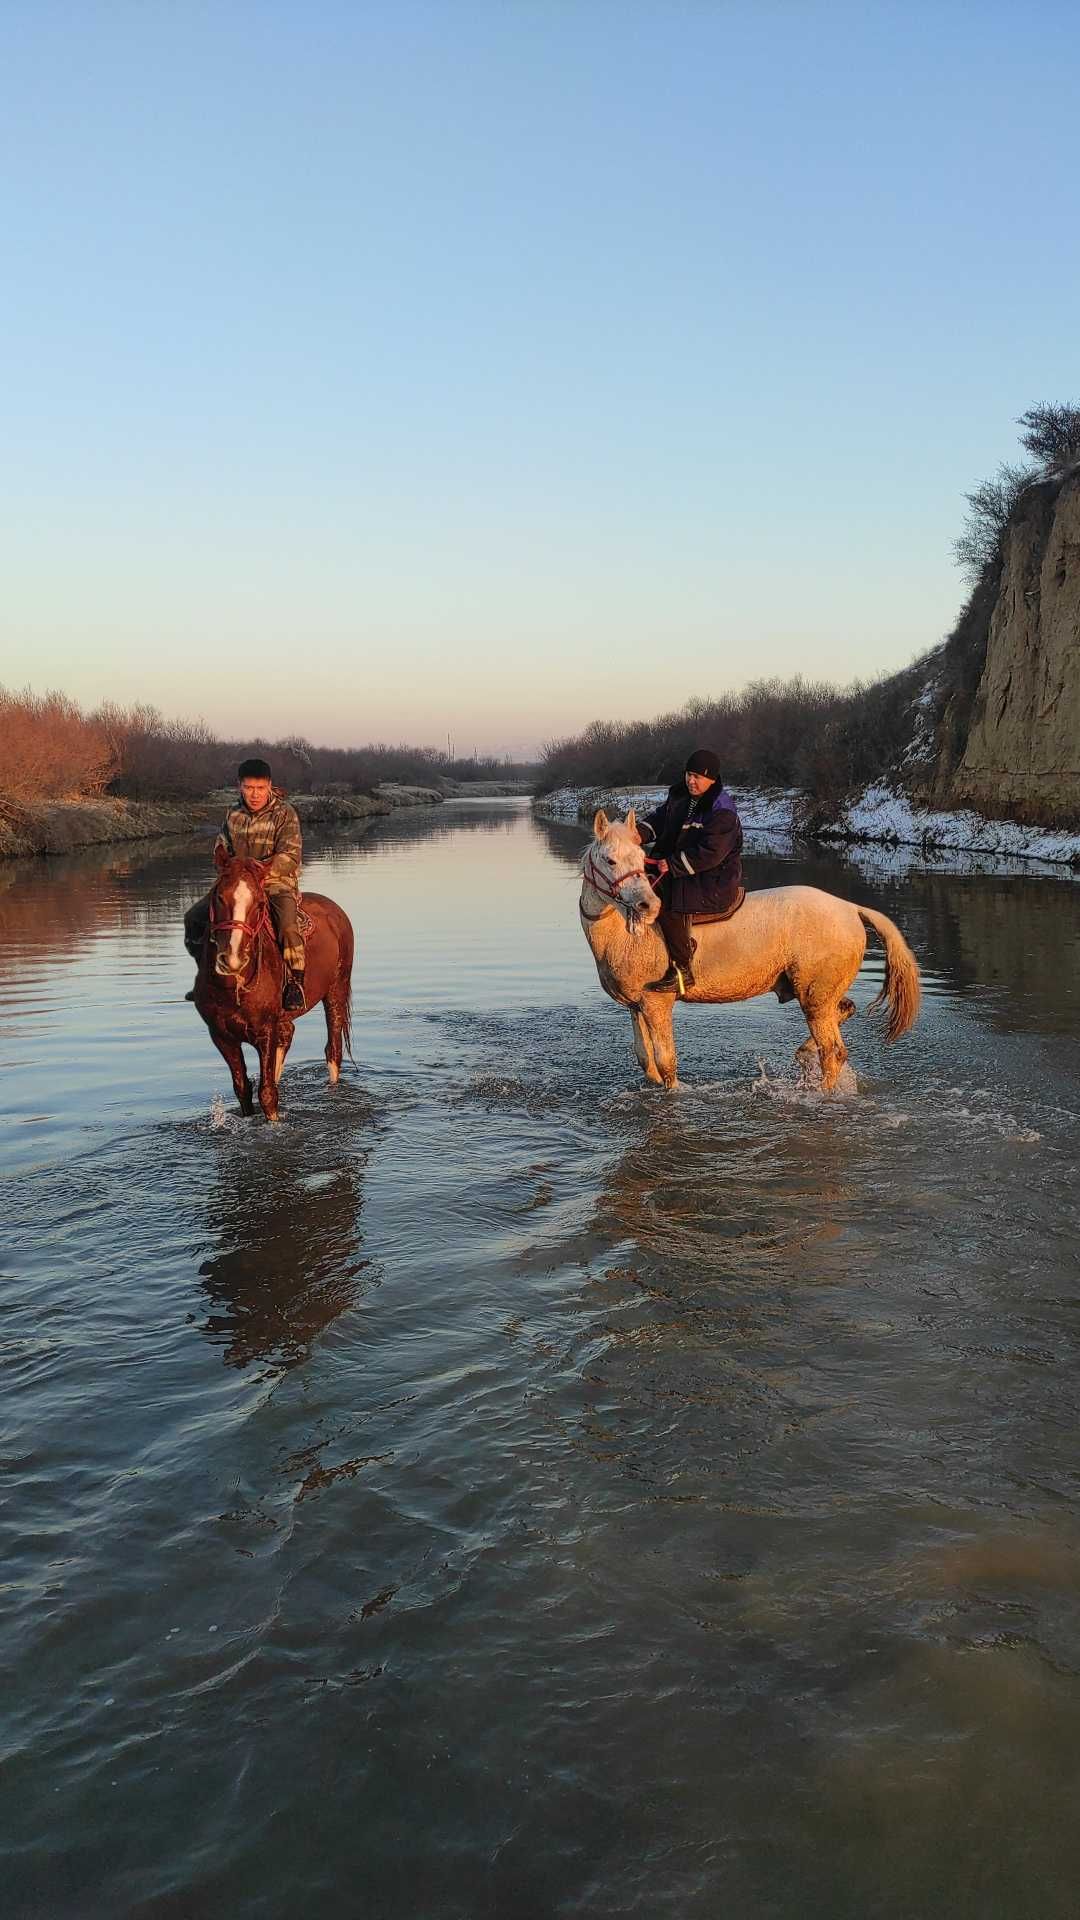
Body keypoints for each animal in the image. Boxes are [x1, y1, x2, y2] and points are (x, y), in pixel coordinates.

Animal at [195, 856, 355, 1121]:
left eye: (260, 904)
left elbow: (267, 1093)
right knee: (287, 1035)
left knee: (333, 1050)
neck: (235, 987)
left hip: (336, 991)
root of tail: (335, 910)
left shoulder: (265, 1033)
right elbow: (242, 1089)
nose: (232, 959)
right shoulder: (221, 1036)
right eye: (218, 897)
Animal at [576, 802, 922, 1090]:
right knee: (844, 1015)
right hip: (820, 992)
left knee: (833, 1053)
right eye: (610, 860)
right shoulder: (636, 1007)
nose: (649, 906)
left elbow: (666, 1065)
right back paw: (804, 1053)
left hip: (816, 996)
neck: (622, 936)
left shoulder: (656, 1004)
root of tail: (850, 908)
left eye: (639, 859)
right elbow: (645, 1061)